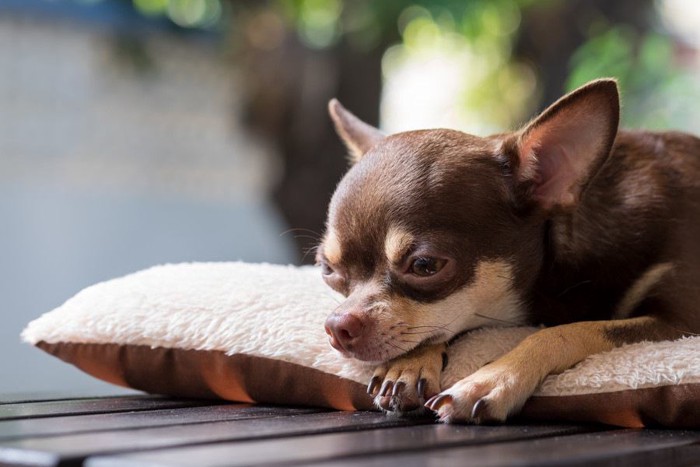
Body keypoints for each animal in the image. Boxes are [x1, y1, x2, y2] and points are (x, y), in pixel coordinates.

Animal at [318, 79, 700, 424]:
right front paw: (408, 365)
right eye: (327, 269)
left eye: (425, 265)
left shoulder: (680, 322)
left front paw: (492, 379)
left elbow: (568, 330)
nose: (337, 326)